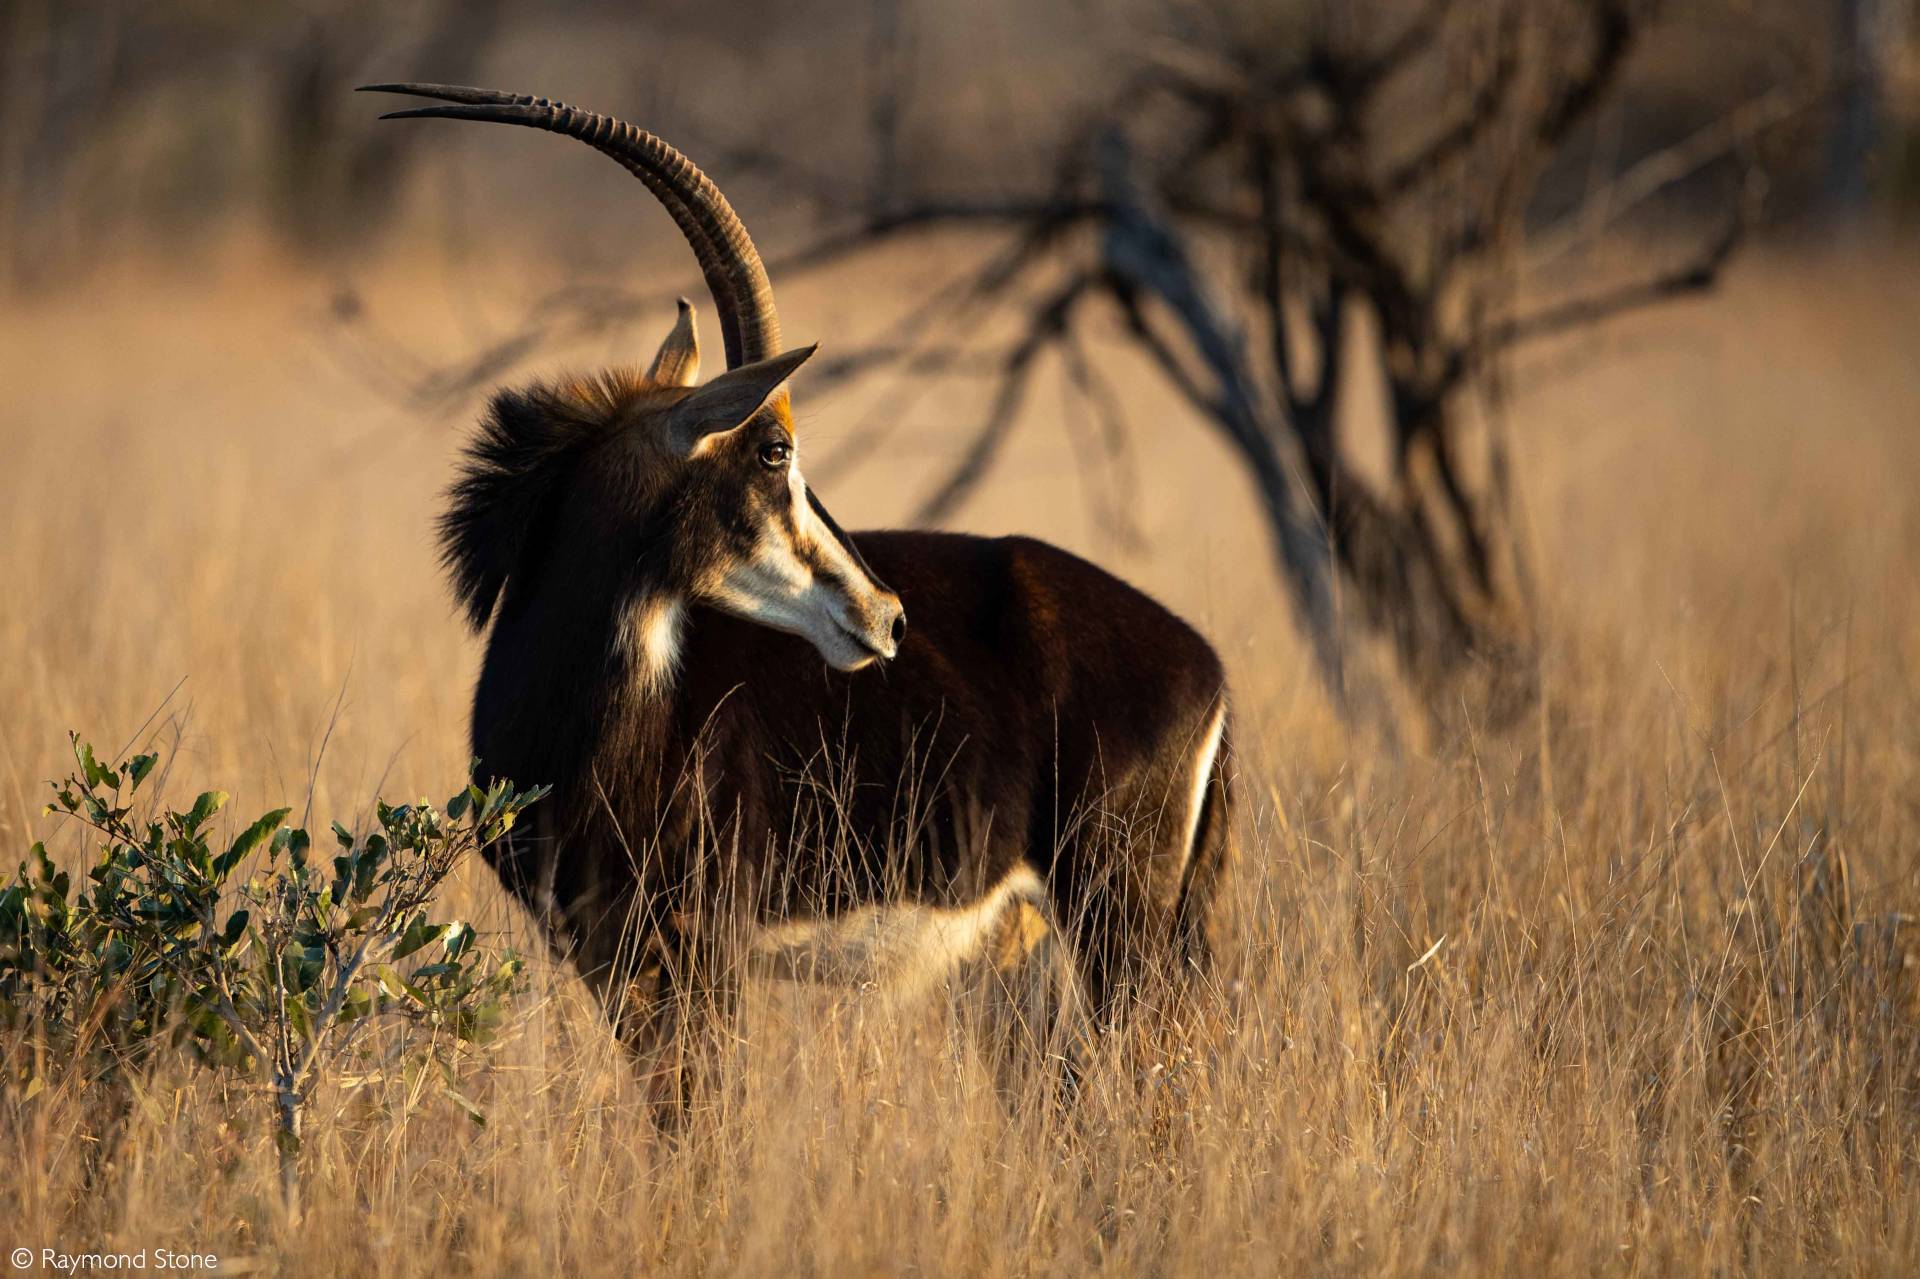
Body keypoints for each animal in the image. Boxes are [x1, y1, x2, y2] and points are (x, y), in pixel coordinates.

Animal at [360, 82, 1228, 1052]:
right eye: (773, 449)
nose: (888, 614)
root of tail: (1205, 666)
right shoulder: (608, 958)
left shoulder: (701, 952)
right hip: (1031, 952)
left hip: (1119, 919)